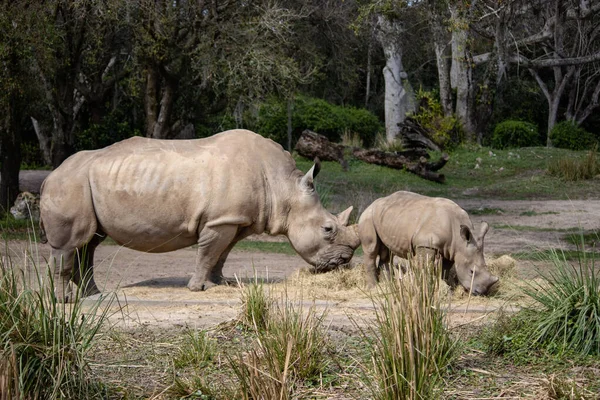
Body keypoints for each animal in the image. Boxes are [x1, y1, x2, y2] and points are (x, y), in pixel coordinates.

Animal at [42, 130, 360, 302]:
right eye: (328, 229)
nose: (343, 261)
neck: (284, 188)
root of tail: (49, 176)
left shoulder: (235, 219)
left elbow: (222, 253)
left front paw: (220, 283)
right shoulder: (220, 219)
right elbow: (208, 252)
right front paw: (198, 288)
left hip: (85, 185)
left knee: (90, 243)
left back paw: (94, 295)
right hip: (70, 184)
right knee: (70, 244)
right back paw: (65, 301)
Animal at [358, 192, 500, 296]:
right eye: (471, 271)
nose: (481, 292)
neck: (459, 240)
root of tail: (372, 203)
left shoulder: (451, 249)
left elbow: (444, 269)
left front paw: (445, 287)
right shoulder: (426, 244)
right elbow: (424, 266)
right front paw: (423, 288)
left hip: (388, 218)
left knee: (387, 252)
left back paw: (388, 285)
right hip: (368, 216)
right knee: (371, 249)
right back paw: (373, 288)